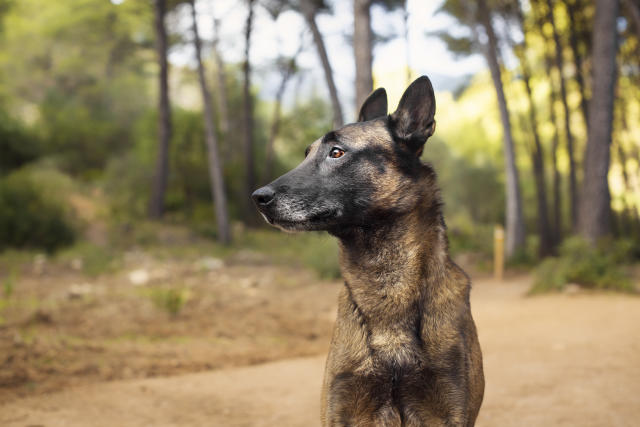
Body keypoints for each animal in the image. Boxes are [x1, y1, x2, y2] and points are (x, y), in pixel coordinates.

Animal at [252, 75, 482, 426]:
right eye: (306, 154)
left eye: (336, 152)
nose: (258, 198)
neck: (386, 286)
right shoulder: (342, 409)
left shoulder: (447, 410)